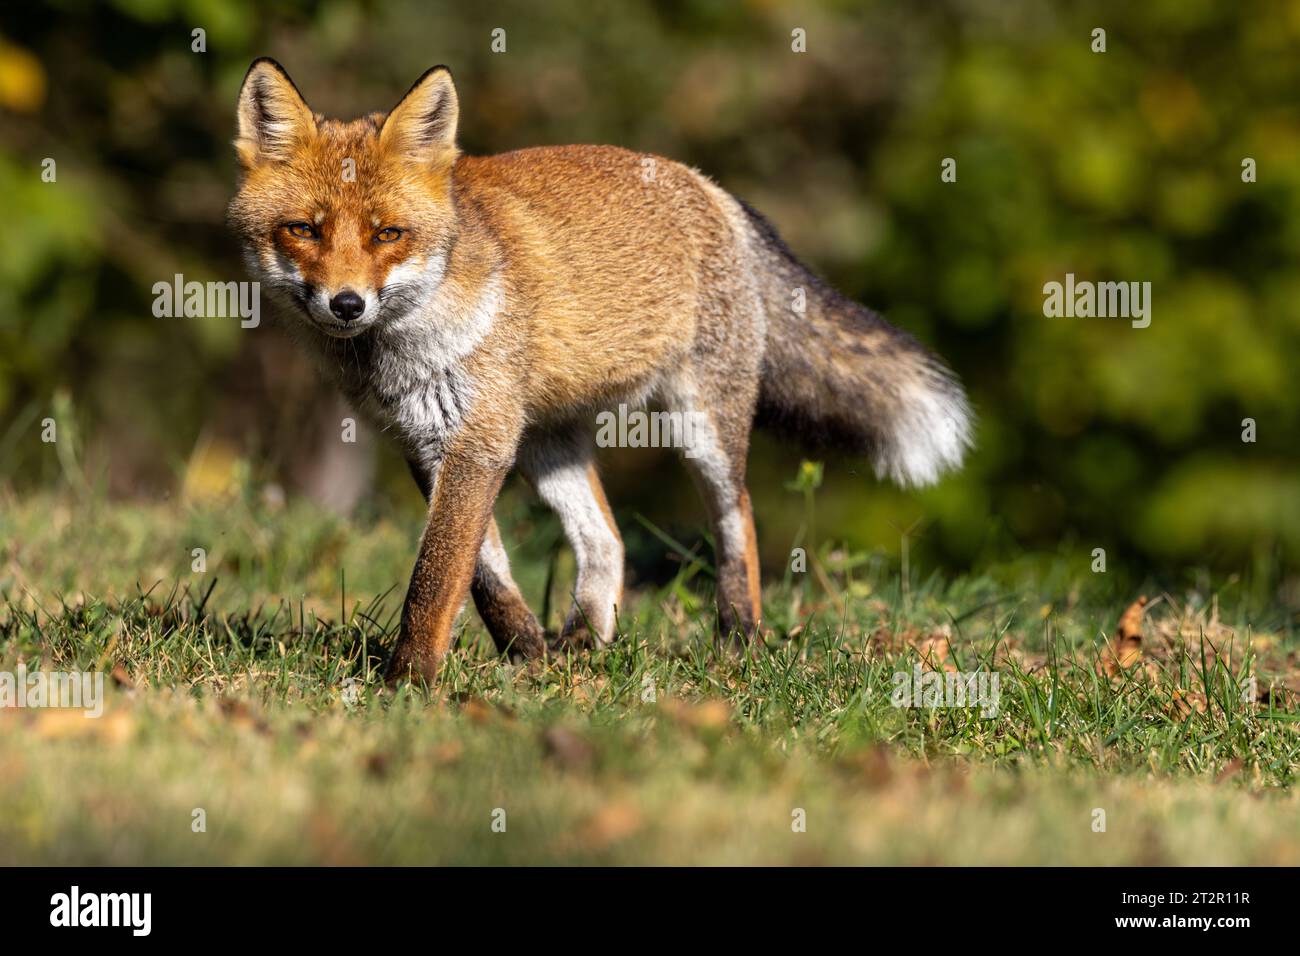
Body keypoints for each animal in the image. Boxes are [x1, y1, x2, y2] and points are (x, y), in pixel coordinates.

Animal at [226, 59, 977, 686]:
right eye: (304, 230)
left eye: (387, 234)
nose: (347, 304)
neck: (401, 344)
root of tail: (708, 187)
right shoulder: (429, 441)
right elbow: (484, 576)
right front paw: (524, 651)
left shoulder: (479, 441)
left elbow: (436, 579)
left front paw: (407, 683)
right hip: (550, 446)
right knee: (607, 541)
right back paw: (584, 642)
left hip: (700, 429)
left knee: (737, 519)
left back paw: (738, 637)